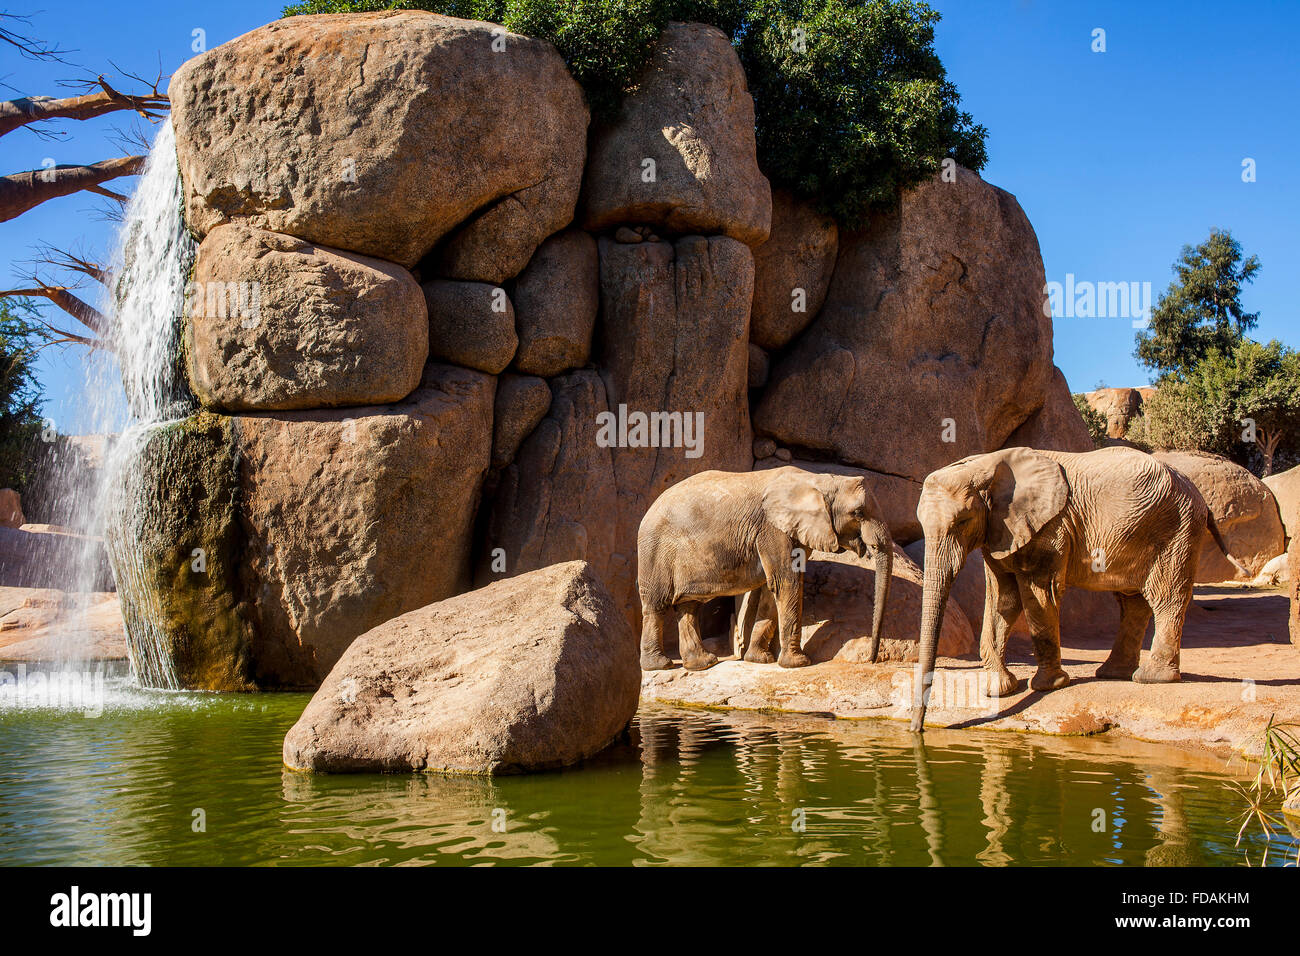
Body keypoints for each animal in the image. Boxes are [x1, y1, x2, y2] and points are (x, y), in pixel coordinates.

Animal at [637, 468, 894, 671]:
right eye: (858, 513)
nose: (871, 659)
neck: (819, 480)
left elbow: (771, 592)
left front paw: (759, 660)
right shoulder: (772, 530)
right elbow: (786, 583)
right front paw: (799, 663)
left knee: (688, 606)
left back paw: (703, 663)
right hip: (654, 552)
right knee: (657, 605)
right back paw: (659, 666)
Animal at [909, 447, 1242, 733]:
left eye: (962, 521)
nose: (918, 730)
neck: (983, 465)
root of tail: (1200, 497)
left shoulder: (1048, 527)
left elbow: (1037, 593)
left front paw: (1048, 686)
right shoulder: (1000, 530)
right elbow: (1003, 600)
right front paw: (999, 690)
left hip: (1176, 530)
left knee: (1165, 598)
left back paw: (1152, 678)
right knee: (1133, 601)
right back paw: (1113, 674)